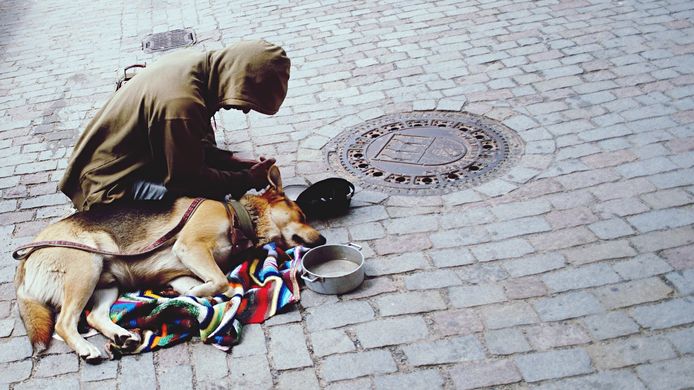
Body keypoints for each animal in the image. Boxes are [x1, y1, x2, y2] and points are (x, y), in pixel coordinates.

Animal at [14, 165, 326, 362]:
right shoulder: (190, 247)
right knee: (64, 323)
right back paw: (86, 348)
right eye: (302, 214)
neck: (238, 217)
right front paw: (194, 296)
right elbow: (222, 281)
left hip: (106, 283)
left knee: (94, 317)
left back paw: (121, 335)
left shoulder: (181, 273)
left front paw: (191, 297)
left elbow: (216, 285)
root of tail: (26, 257)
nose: (323, 238)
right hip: (86, 267)